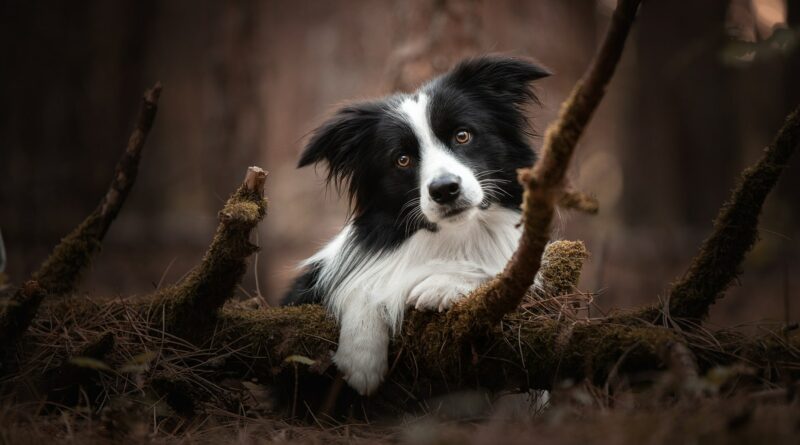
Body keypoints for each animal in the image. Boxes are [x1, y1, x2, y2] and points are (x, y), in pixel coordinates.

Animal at [282, 56, 552, 396]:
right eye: (402, 159)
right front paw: (361, 359)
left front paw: (442, 284)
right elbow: (366, 284)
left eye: (462, 135)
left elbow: (498, 270)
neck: (454, 236)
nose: (445, 189)